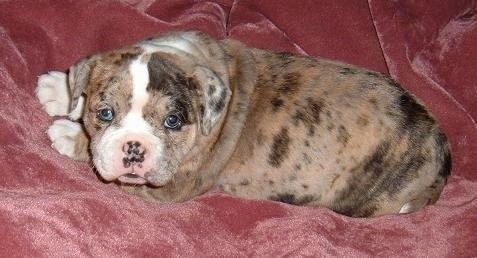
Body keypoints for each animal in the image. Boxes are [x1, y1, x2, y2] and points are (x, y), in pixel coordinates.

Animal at [37, 31, 450, 218]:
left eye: (173, 121)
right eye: (105, 113)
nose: (135, 149)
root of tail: (441, 147)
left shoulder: (172, 186)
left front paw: (69, 134)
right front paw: (62, 89)